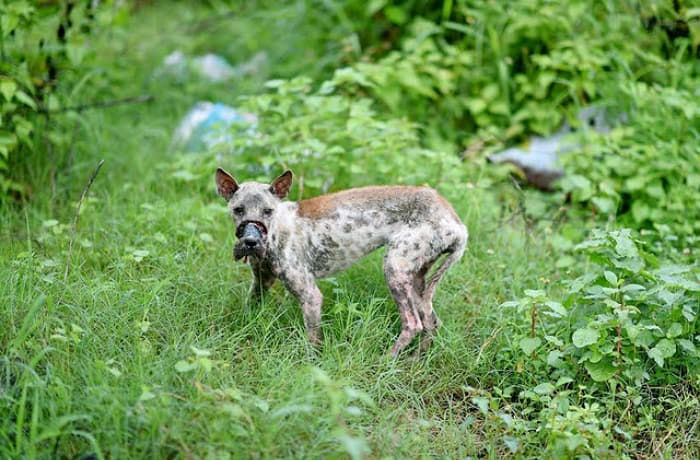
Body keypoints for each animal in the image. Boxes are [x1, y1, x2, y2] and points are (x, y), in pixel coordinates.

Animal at [216, 169, 468, 356]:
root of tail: (458, 226)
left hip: (395, 270)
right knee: (431, 323)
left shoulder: (311, 296)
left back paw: (385, 361)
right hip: (415, 282)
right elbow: (250, 310)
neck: (278, 228)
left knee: (413, 325)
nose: (250, 242)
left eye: (268, 211)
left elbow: (312, 342)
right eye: (238, 210)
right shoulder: (261, 283)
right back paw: (416, 361)